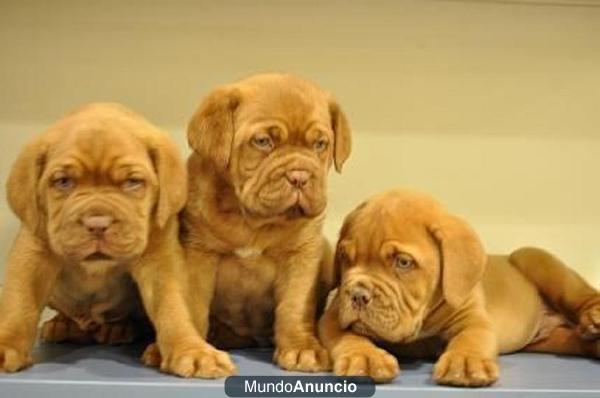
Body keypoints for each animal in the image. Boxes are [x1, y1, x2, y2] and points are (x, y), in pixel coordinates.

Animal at [0, 103, 218, 376]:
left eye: (133, 182)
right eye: (63, 182)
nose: (97, 224)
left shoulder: (161, 259)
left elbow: (173, 306)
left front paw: (192, 350)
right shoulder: (32, 251)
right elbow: (18, 303)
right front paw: (6, 344)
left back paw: (119, 328)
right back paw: (62, 325)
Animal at [144, 74, 352, 374]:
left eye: (320, 144)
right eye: (263, 141)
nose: (300, 177)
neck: (252, 220)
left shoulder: (302, 253)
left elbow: (294, 305)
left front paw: (301, 348)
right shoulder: (198, 254)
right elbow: (193, 305)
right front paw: (195, 350)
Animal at [322, 190, 600, 386]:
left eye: (403, 262)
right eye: (344, 257)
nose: (357, 295)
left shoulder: (472, 318)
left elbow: (471, 338)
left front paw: (464, 363)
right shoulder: (333, 317)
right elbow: (347, 336)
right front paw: (364, 358)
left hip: (537, 259)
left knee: (582, 294)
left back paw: (593, 318)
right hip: (551, 340)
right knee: (575, 339)